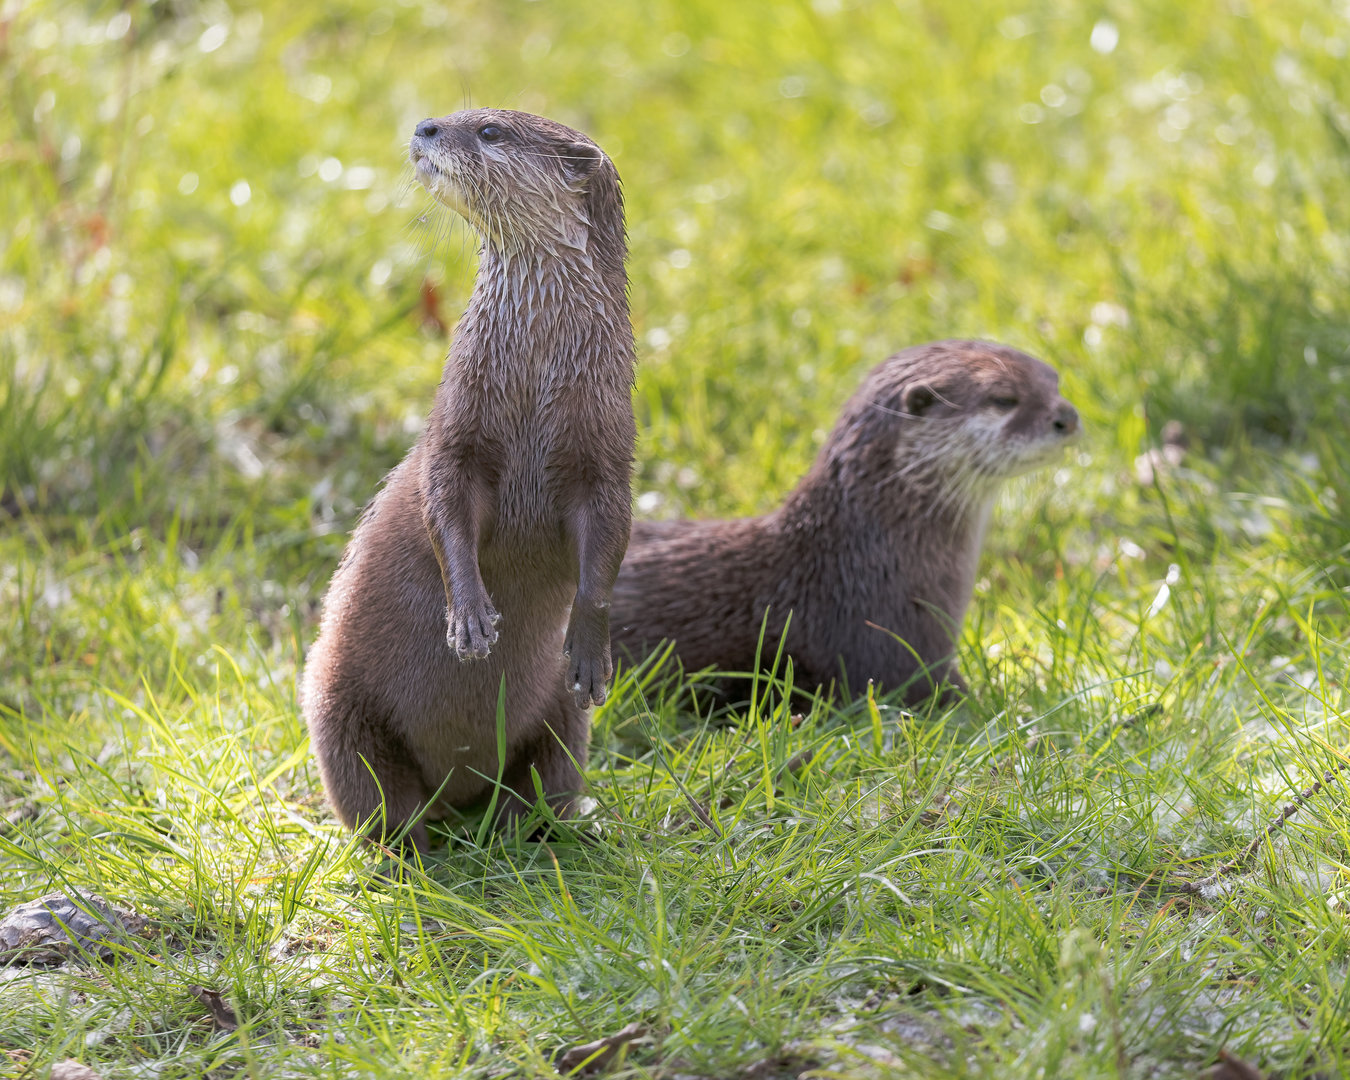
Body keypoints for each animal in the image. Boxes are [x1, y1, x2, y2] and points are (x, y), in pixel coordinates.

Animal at [302, 109, 635, 852]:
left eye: (488, 130)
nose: (426, 125)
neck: (537, 378)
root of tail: (456, 791)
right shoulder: (459, 428)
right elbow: (446, 504)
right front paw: (472, 617)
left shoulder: (606, 449)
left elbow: (608, 543)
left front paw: (590, 649)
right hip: (337, 708)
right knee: (380, 805)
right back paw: (413, 855)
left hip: (565, 726)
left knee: (546, 778)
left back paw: (524, 832)